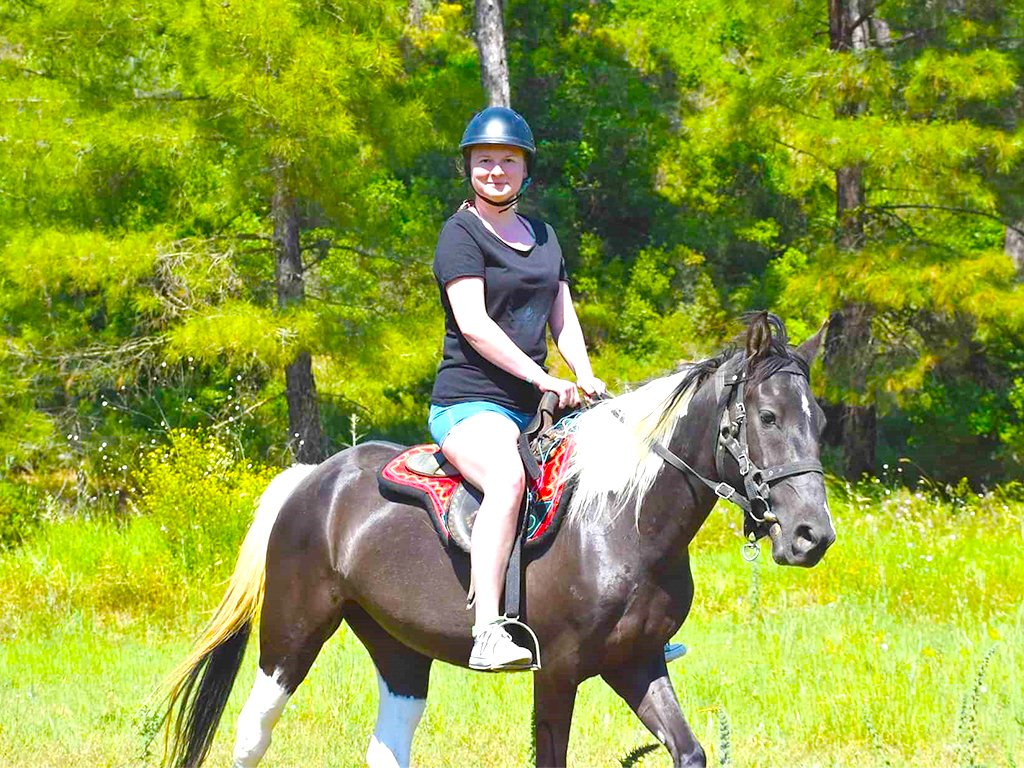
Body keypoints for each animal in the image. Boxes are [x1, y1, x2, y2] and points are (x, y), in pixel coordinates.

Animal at [157, 313, 831, 768]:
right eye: (767, 417)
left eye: (819, 420)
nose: (812, 536)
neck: (622, 521)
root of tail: (312, 479)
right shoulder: (557, 671)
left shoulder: (637, 661)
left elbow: (690, 751)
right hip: (290, 635)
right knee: (252, 733)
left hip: (398, 650)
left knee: (386, 745)